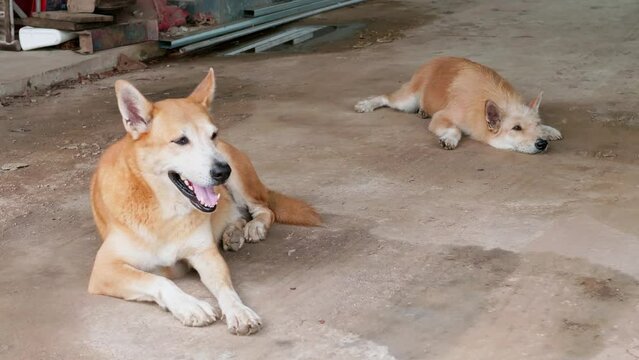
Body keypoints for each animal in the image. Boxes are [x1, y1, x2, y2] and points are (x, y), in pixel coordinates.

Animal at [87, 69, 322, 334]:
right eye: (181, 140)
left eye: (213, 135)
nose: (223, 172)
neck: (164, 209)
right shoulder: (105, 269)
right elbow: (158, 279)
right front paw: (191, 306)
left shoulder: (204, 253)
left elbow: (227, 288)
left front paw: (239, 311)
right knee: (238, 215)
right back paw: (232, 233)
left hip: (241, 178)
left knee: (263, 209)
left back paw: (254, 227)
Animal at [358, 56, 564, 153]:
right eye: (516, 128)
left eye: (537, 125)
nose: (542, 144)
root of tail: (433, 59)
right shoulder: (441, 117)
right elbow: (455, 129)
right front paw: (450, 138)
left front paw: (548, 130)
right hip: (406, 101)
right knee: (385, 97)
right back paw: (366, 104)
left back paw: (423, 111)